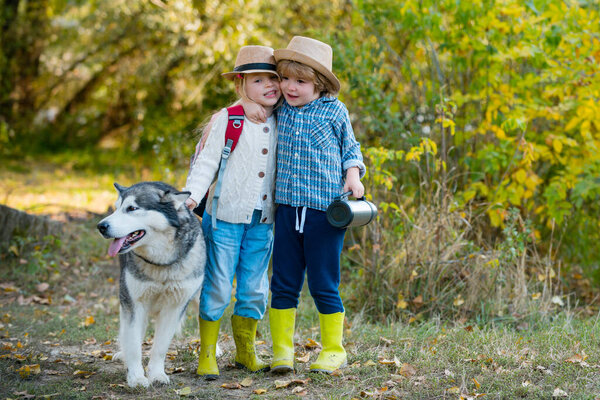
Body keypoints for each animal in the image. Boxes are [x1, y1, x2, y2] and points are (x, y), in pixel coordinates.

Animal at [96, 181, 204, 388]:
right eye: (116, 208)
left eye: (131, 208)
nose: (101, 226)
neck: (161, 263)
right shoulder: (134, 303)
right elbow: (133, 344)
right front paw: (136, 377)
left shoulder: (174, 307)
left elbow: (160, 346)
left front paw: (157, 374)